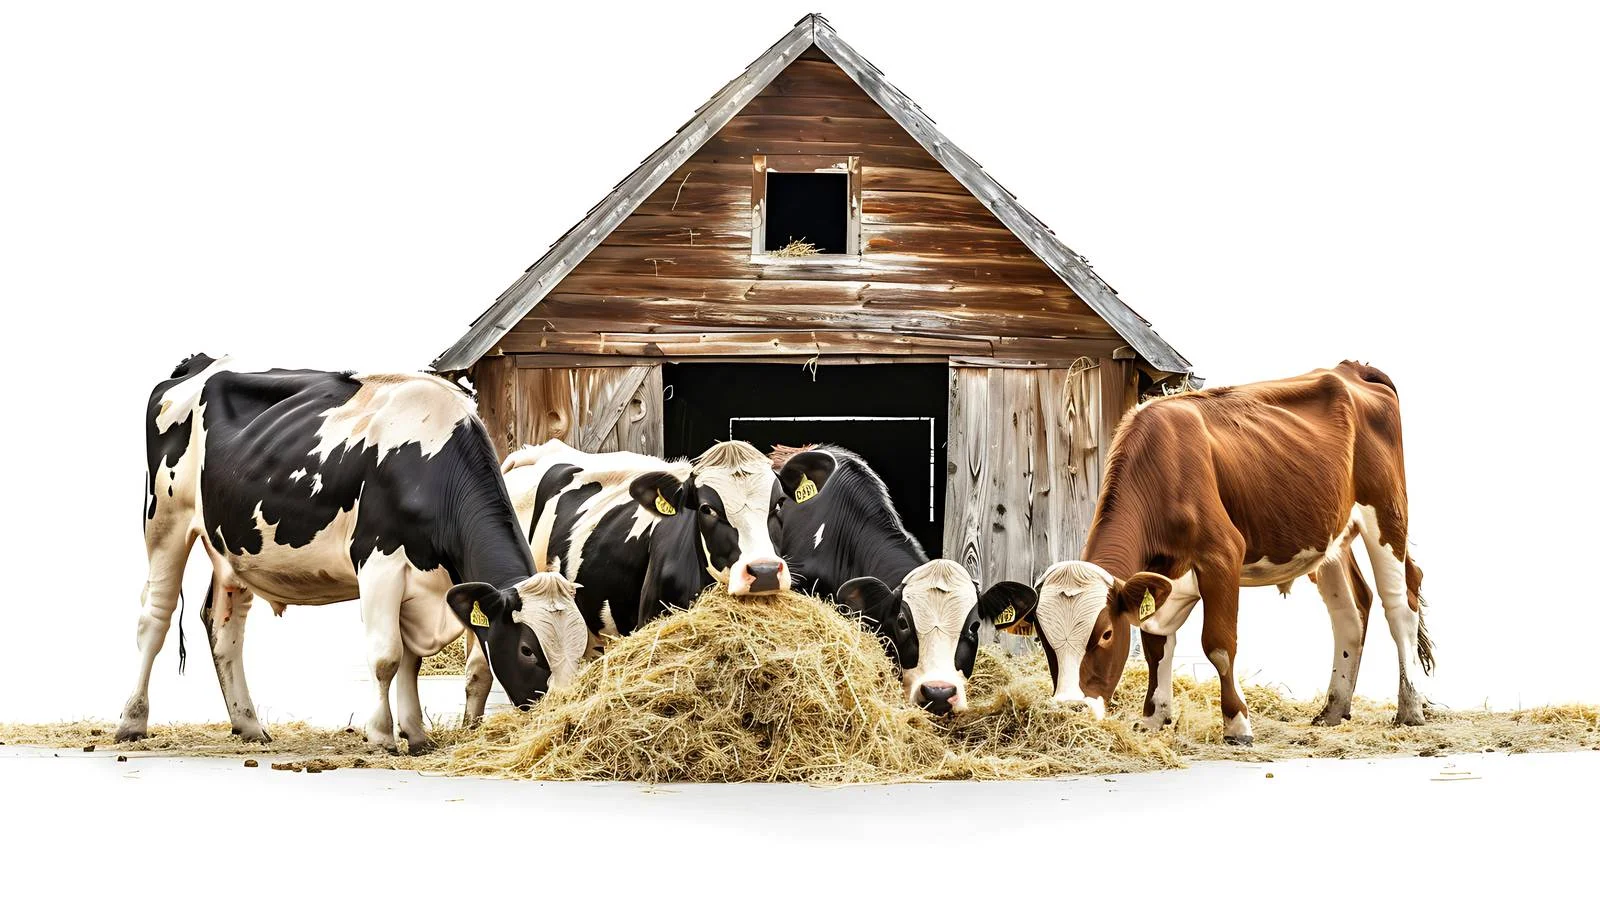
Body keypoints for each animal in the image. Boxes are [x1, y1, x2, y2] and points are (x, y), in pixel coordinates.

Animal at [118, 355, 587, 753]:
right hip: (166, 520)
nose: (564, 715)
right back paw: (132, 722)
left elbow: (411, 661)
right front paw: (381, 735)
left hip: (234, 546)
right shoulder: (380, 563)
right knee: (154, 618)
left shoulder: (421, 582)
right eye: (528, 649)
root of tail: (200, 363)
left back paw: (248, 725)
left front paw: (415, 734)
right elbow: (387, 657)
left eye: (581, 644)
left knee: (224, 629)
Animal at [982, 362, 1433, 743]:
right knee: (1351, 610)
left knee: (1400, 604)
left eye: (1106, 633)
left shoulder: (1222, 556)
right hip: (1330, 536)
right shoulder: (1164, 576)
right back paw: (1334, 710)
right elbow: (1155, 644)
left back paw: (1410, 708)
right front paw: (1154, 716)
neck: (1160, 468)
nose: (1069, 708)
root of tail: (1349, 369)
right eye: (1042, 639)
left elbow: (1218, 644)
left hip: (1386, 514)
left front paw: (1238, 724)